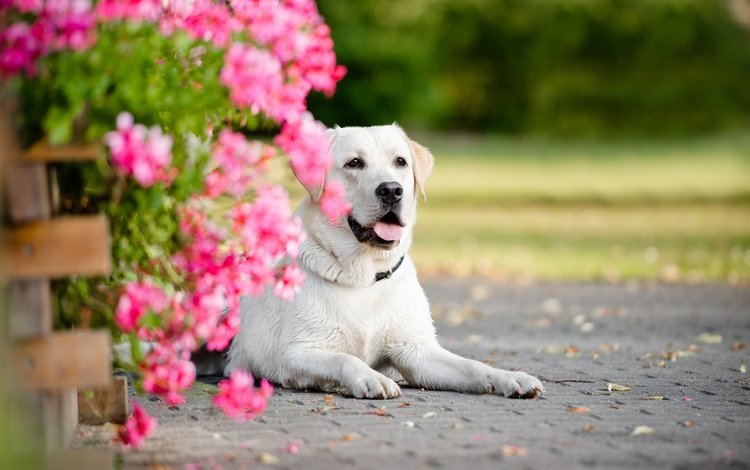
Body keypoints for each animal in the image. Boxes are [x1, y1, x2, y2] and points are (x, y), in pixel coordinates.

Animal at [225, 126, 548, 400]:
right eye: (354, 163)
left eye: (400, 162)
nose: (391, 190)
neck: (365, 276)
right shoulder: (295, 354)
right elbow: (345, 359)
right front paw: (371, 377)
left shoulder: (417, 351)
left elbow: (472, 365)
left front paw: (510, 377)